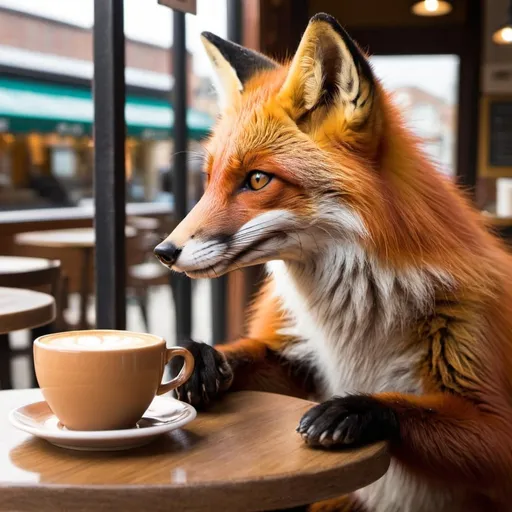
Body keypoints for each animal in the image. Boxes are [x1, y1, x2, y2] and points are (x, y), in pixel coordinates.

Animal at [154, 12, 512, 512]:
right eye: (208, 181)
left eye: (257, 180)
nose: (163, 253)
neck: (347, 327)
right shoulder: (298, 357)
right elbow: (248, 356)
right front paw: (203, 359)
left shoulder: (491, 404)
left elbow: (417, 411)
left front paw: (360, 408)